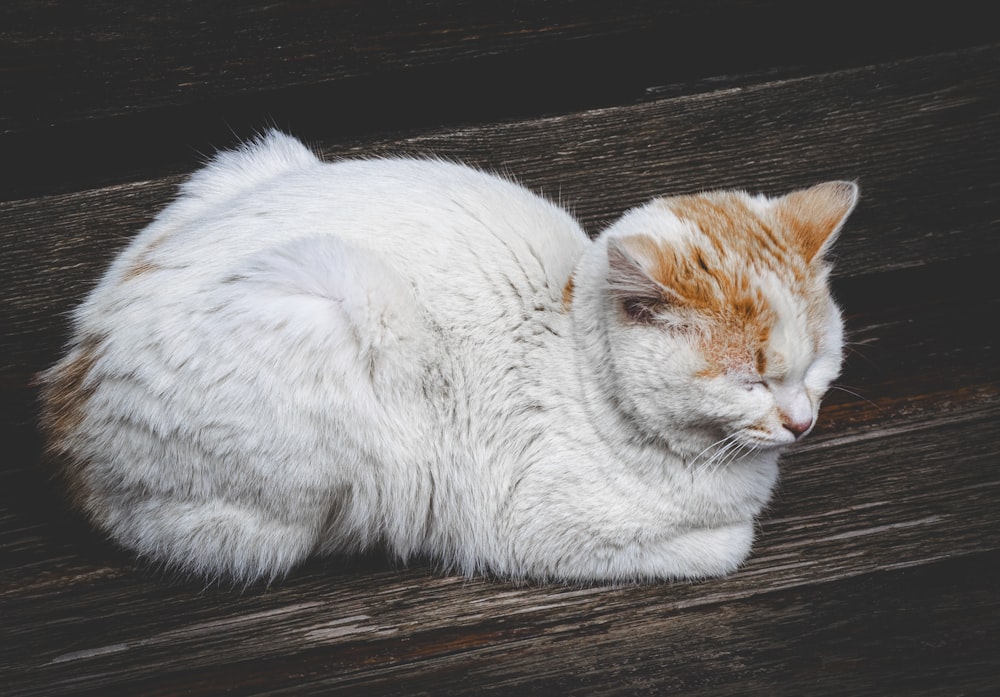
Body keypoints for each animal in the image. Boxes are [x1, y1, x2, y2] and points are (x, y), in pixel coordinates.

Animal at [35, 129, 856, 580]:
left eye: (818, 364)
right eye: (751, 380)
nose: (802, 422)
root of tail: (67, 384)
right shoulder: (526, 527)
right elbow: (728, 545)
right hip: (335, 305)